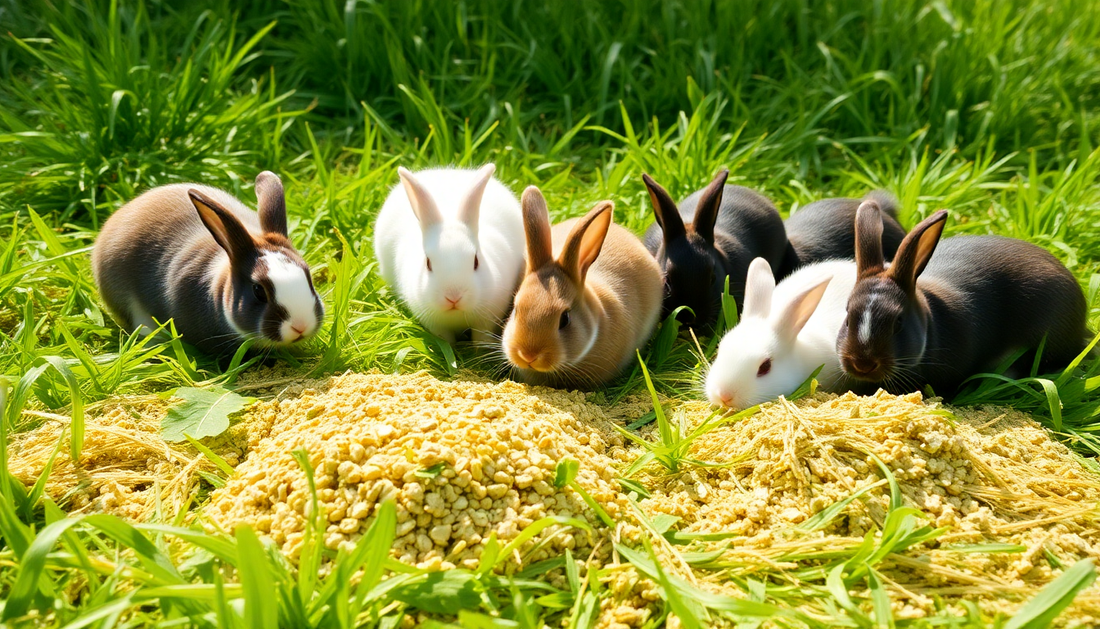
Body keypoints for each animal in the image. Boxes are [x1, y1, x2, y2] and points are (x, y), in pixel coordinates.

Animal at [373, 164, 525, 343]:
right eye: (428, 263)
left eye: (476, 261)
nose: (453, 297)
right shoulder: (435, 324)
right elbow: (445, 339)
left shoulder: (486, 320)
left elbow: (482, 337)